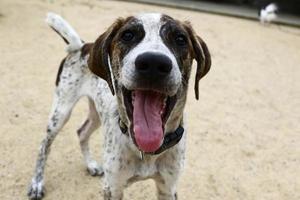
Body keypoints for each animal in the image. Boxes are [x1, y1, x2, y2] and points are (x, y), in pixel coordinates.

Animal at [27, 12, 211, 200]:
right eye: (127, 35)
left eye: (180, 39)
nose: (153, 63)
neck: (146, 152)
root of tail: (82, 46)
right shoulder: (112, 187)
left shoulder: (168, 187)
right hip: (61, 111)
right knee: (44, 146)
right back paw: (37, 183)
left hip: (97, 114)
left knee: (82, 131)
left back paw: (90, 164)